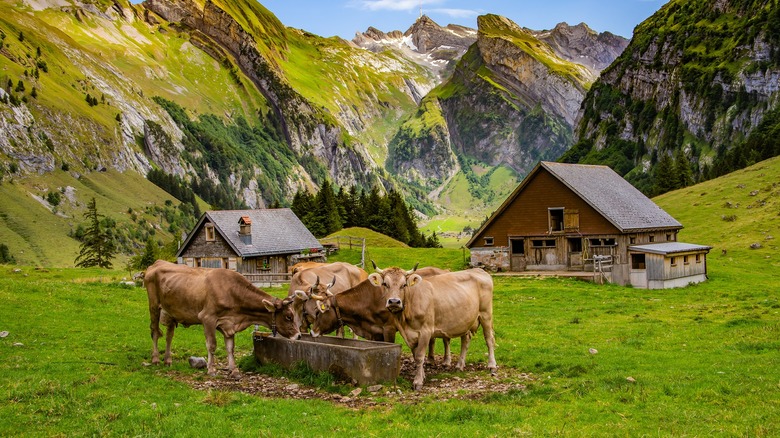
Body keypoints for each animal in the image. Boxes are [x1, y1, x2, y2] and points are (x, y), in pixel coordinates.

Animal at [143, 260, 302, 376]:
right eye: (288, 316)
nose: (299, 335)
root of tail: (157, 263)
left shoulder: (229, 323)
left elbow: (230, 348)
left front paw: (234, 370)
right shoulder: (207, 318)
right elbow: (212, 345)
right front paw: (211, 369)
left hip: (170, 312)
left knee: (169, 335)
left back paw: (168, 360)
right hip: (154, 306)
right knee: (155, 332)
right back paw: (155, 359)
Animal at [368, 264, 496, 390]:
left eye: (403, 285)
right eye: (385, 284)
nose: (394, 301)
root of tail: (478, 270)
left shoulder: (425, 331)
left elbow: (420, 356)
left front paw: (418, 382)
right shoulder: (409, 335)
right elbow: (415, 356)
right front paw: (422, 375)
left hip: (485, 314)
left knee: (489, 339)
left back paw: (492, 366)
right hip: (465, 320)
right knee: (465, 340)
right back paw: (459, 366)